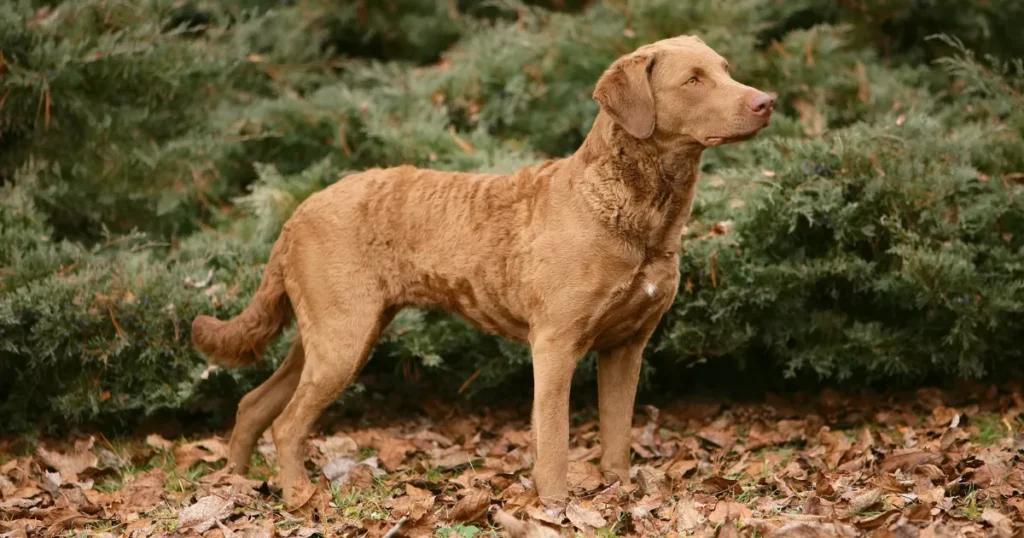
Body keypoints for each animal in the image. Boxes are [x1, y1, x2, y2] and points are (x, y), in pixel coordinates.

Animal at [192, 34, 770, 508]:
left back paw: (236, 485)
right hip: (342, 337)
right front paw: (556, 507)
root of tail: (297, 212)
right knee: (286, 423)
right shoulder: (555, 343)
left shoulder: (627, 346)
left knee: (254, 404)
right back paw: (298, 496)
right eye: (693, 80)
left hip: (330, 334)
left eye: (725, 69)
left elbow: (617, 433)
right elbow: (554, 438)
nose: (767, 102)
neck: (632, 212)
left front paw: (619, 491)